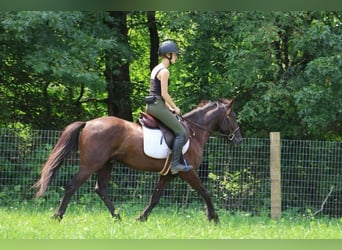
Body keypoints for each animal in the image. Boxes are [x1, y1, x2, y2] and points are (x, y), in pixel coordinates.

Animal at [33, 97, 242, 223]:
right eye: (232, 116)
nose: (238, 140)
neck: (193, 132)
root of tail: (88, 123)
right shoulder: (187, 171)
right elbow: (205, 192)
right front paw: (215, 218)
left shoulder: (169, 174)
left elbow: (155, 197)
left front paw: (141, 218)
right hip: (90, 165)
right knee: (72, 186)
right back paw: (58, 216)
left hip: (106, 164)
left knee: (101, 189)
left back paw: (118, 217)